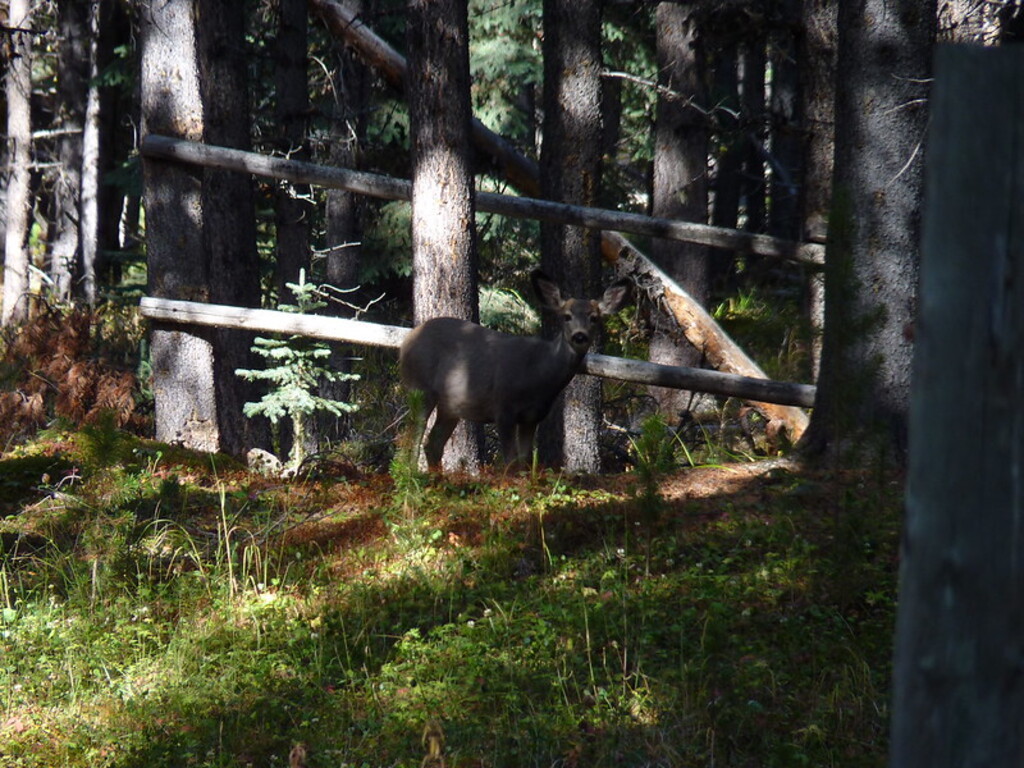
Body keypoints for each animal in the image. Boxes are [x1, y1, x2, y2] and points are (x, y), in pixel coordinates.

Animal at [399, 270, 631, 470]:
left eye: (594, 317)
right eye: (566, 316)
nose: (580, 336)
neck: (538, 375)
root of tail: (406, 341)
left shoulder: (532, 417)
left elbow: (525, 461)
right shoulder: (503, 408)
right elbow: (510, 462)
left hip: (451, 405)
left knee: (433, 443)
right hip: (420, 387)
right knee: (412, 438)